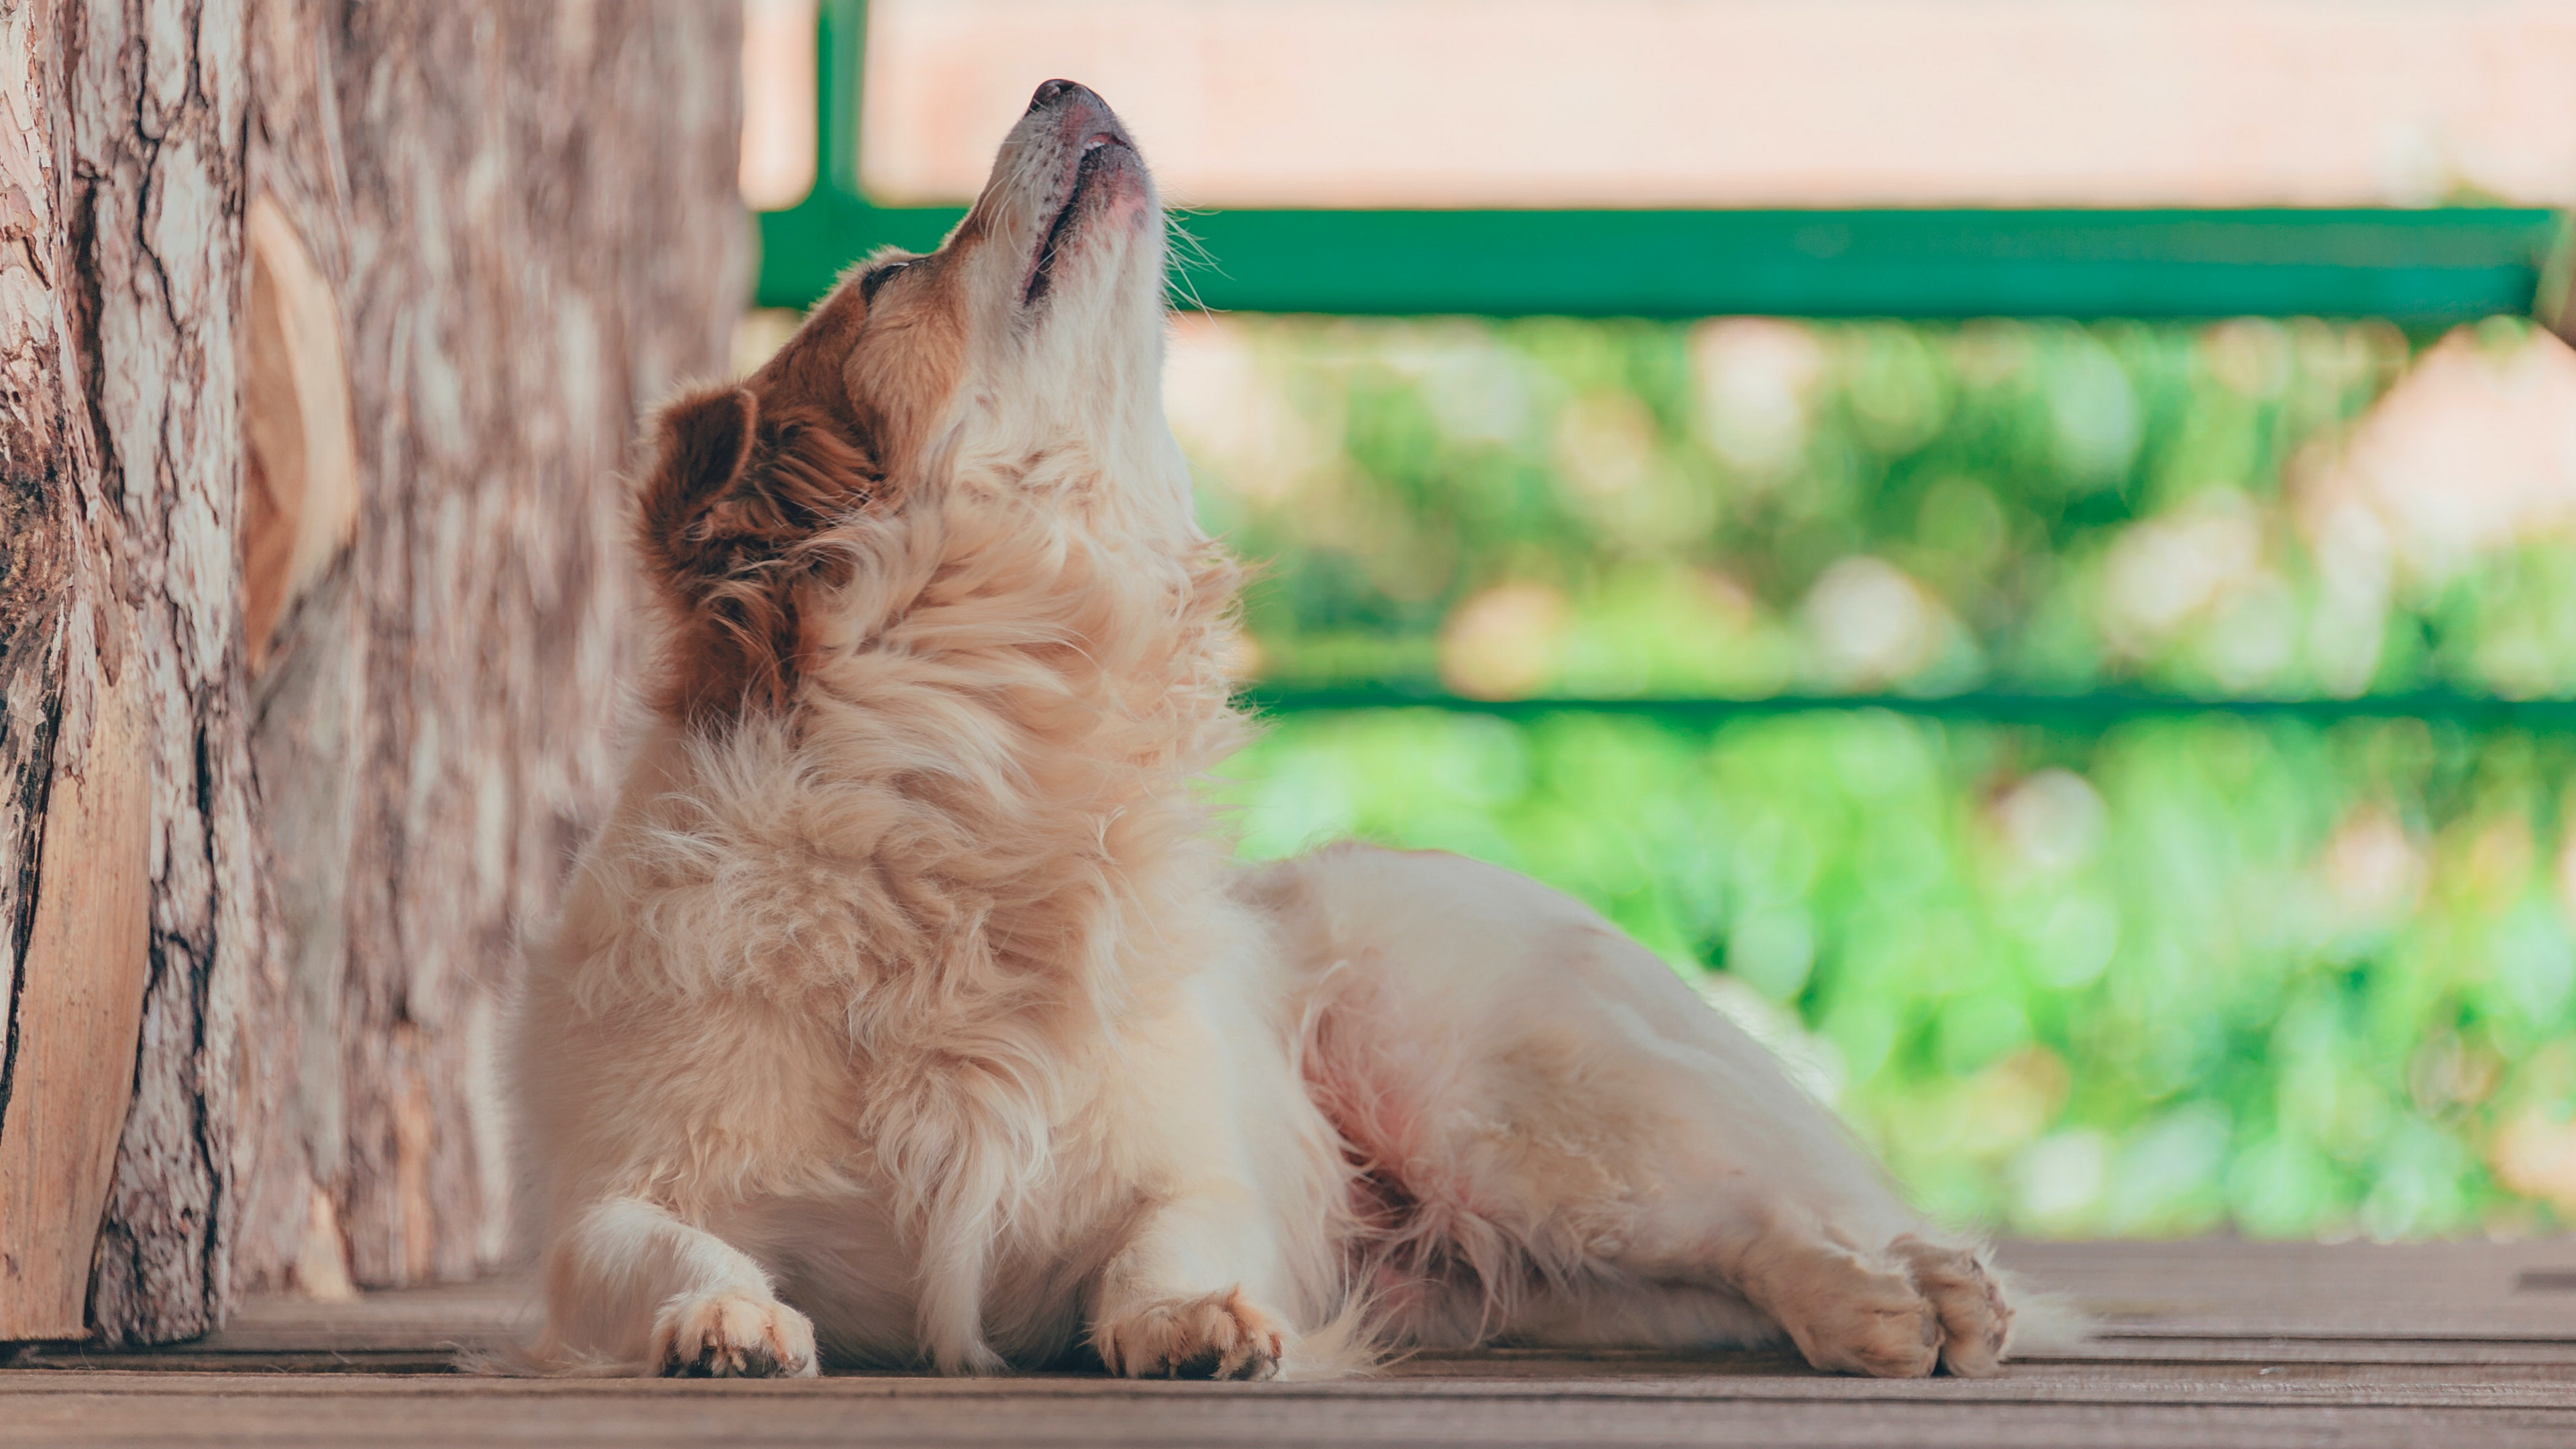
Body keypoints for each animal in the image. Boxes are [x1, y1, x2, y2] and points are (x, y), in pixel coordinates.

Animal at [513, 76, 2019, 1371]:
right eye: (887, 282)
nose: (1061, 79)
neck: (970, 766)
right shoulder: (610, 1199)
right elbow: (654, 1248)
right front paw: (723, 1318)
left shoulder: (1190, 1173)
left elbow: (1172, 1241)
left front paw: (1190, 1321)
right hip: (1537, 1263)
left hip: (1515, 1125)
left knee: (1749, 1219)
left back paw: (1895, 1296)